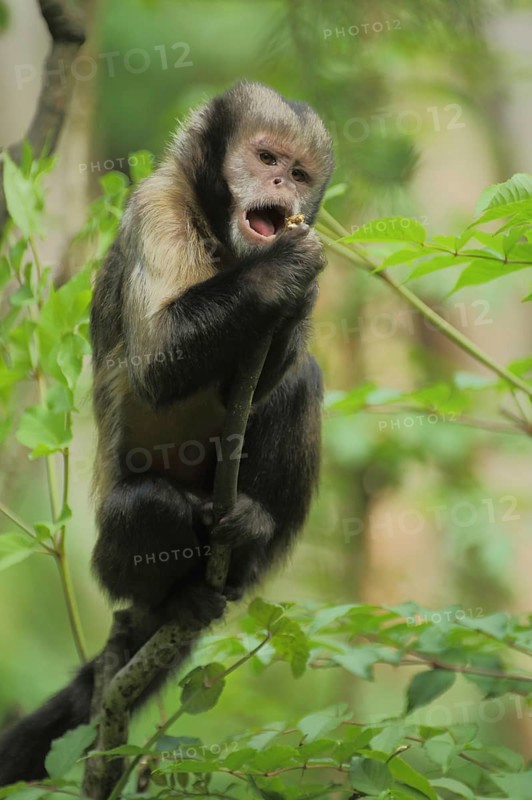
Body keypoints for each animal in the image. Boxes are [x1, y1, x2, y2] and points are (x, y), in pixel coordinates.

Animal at [0, 80, 333, 784]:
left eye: (298, 174)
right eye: (266, 157)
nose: (281, 187)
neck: (218, 233)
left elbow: (258, 386)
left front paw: (301, 292)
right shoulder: (155, 207)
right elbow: (155, 363)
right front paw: (281, 272)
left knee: (301, 381)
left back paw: (250, 536)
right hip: (114, 569)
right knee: (149, 505)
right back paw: (175, 602)